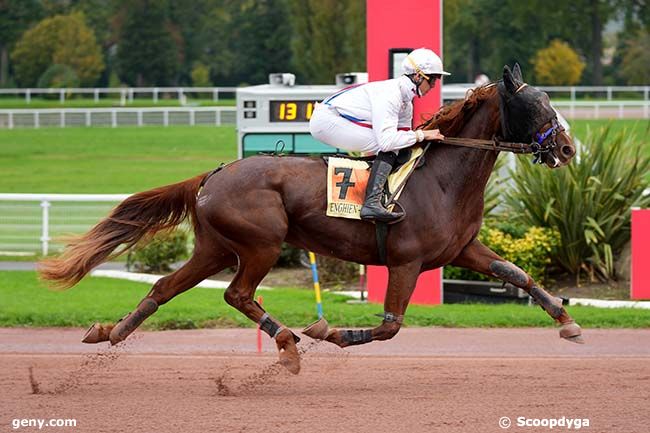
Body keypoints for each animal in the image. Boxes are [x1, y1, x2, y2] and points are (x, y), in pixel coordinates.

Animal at [41, 63, 584, 372]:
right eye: (537, 104)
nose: (567, 148)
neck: (442, 178)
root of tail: (215, 174)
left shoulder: (461, 250)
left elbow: (516, 273)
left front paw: (568, 321)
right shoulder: (406, 261)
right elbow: (390, 325)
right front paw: (330, 332)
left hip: (215, 247)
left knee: (164, 287)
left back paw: (111, 332)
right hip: (259, 243)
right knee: (238, 294)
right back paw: (288, 342)